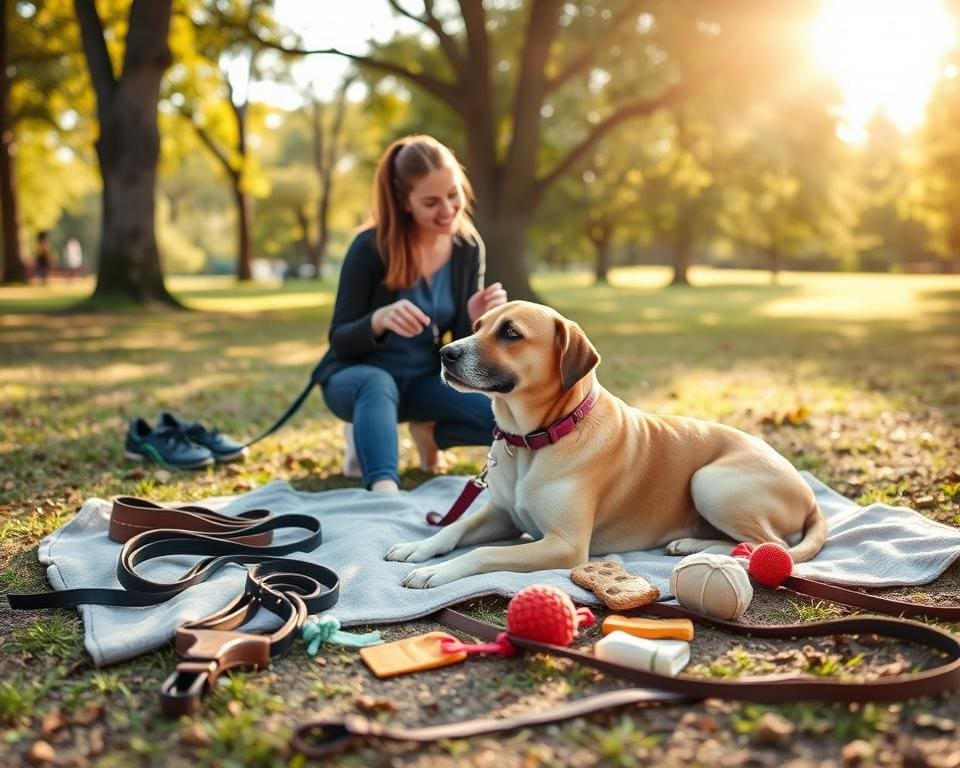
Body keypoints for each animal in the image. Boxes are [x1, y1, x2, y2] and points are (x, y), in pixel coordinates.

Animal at [384, 300, 824, 588]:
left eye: (510, 333)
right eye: (477, 325)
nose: (445, 353)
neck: (535, 439)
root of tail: (809, 494)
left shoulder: (565, 546)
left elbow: (484, 553)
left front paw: (438, 570)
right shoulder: (500, 515)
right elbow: (454, 528)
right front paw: (418, 548)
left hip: (711, 480)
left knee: (769, 547)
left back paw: (702, 550)